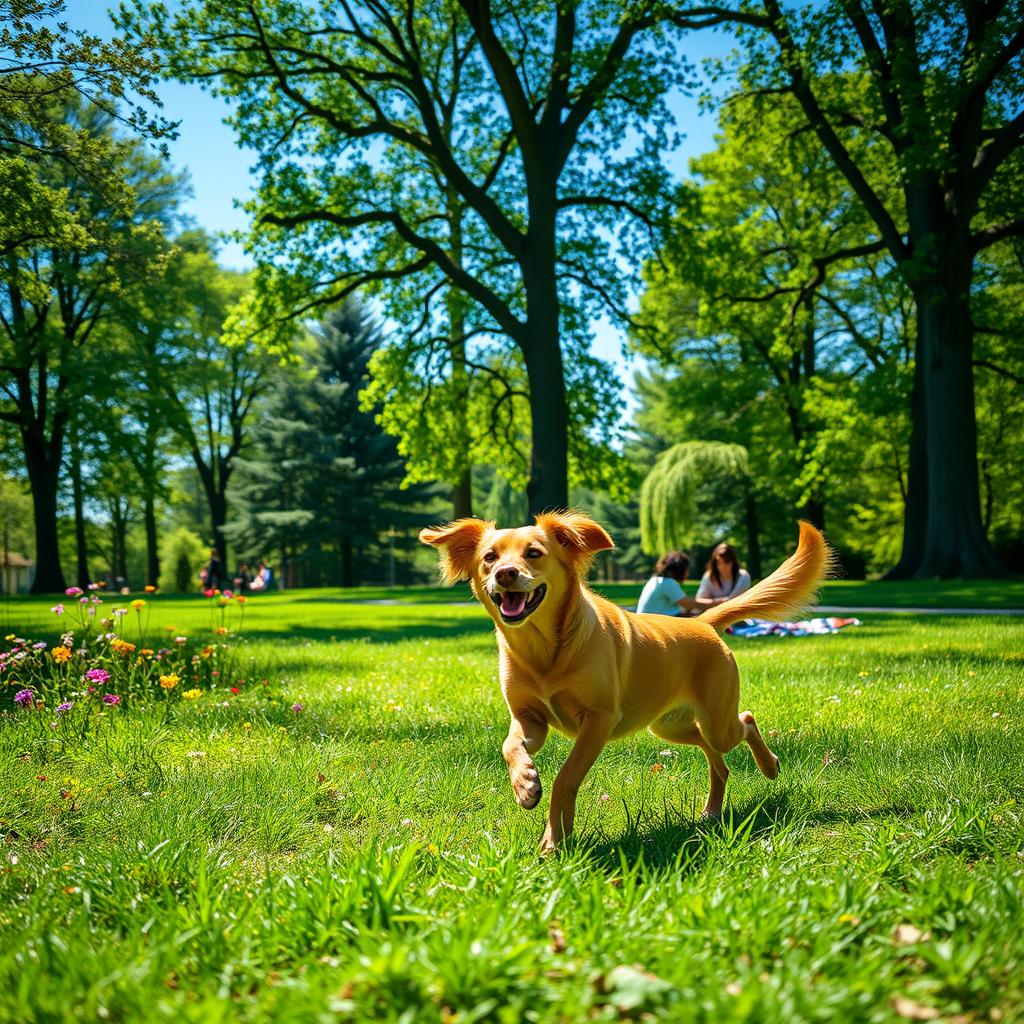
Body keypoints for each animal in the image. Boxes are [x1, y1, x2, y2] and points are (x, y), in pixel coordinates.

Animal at [419, 512, 827, 856]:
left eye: (534, 553)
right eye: (489, 557)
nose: (505, 573)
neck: (544, 650)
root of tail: (703, 622)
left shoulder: (598, 720)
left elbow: (566, 778)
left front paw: (553, 840)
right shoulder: (530, 717)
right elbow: (510, 745)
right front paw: (525, 784)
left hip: (716, 718)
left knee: (745, 721)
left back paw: (770, 765)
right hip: (670, 726)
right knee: (716, 757)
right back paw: (712, 808)